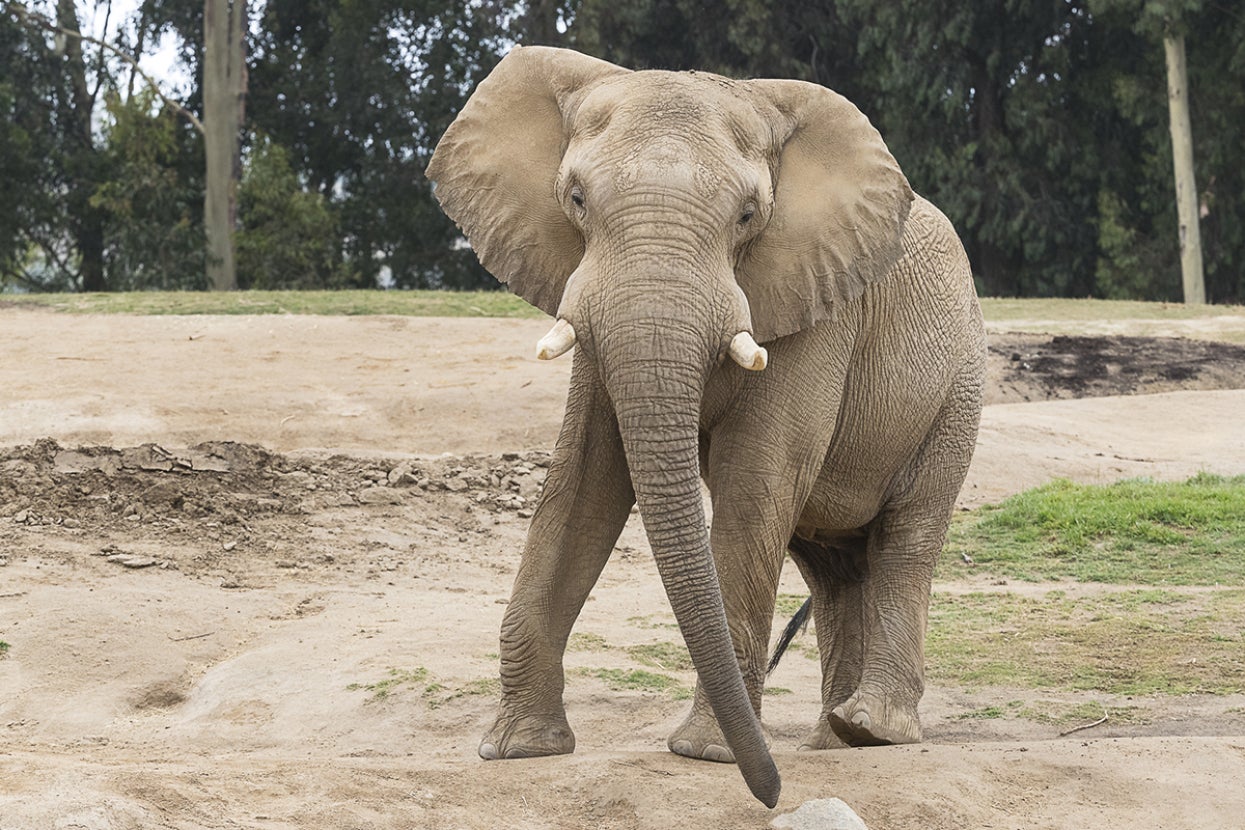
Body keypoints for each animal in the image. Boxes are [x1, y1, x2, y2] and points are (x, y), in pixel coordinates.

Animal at [426, 45, 985, 808]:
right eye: (576, 199)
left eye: (748, 215)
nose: (773, 793)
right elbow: (583, 484)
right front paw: (517, 749)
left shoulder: (818, 303)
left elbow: (756, 481)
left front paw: (702, 753)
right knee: (833, 569)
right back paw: (832, 737)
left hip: (957, 389)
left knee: (906, 539)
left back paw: (872, 729)